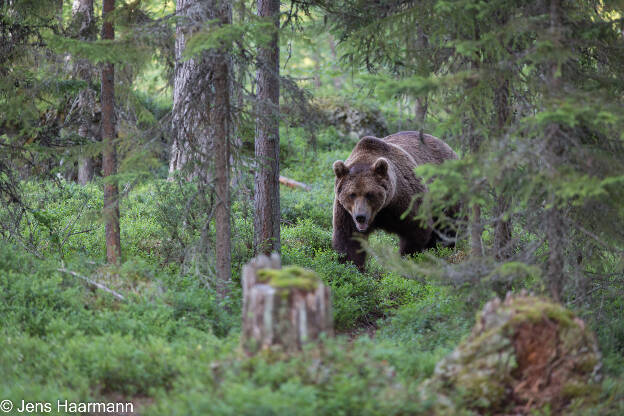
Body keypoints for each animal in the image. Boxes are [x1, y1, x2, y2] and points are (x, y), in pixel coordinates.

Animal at [332, 132, 458, 272]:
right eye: (352, 194)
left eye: (369, 194)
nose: (360, 217)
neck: (384, 208)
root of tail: (447, 146)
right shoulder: (346, 212)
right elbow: (349, 239)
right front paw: (352, 268)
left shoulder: (406, 203)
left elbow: (416, 230)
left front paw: (407, 260)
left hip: (446, 194)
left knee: (448, 226)